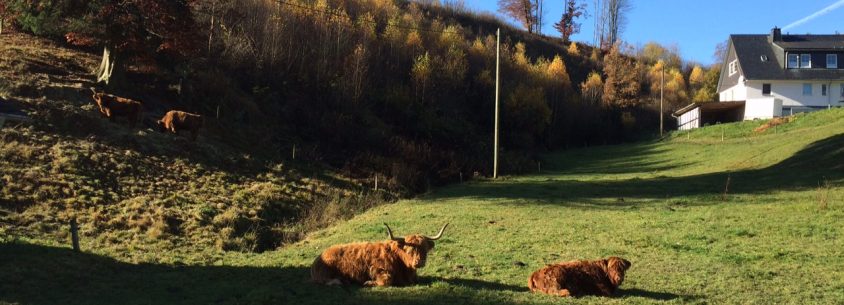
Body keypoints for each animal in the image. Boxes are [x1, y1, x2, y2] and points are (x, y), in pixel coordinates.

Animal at [312, 222, 448, 286]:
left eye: (425, 249)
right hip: (325, 274)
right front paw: (368, 283)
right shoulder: (378, 270)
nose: (419, 262)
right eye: (409, 250)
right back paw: (342, 281)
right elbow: (387, 281)